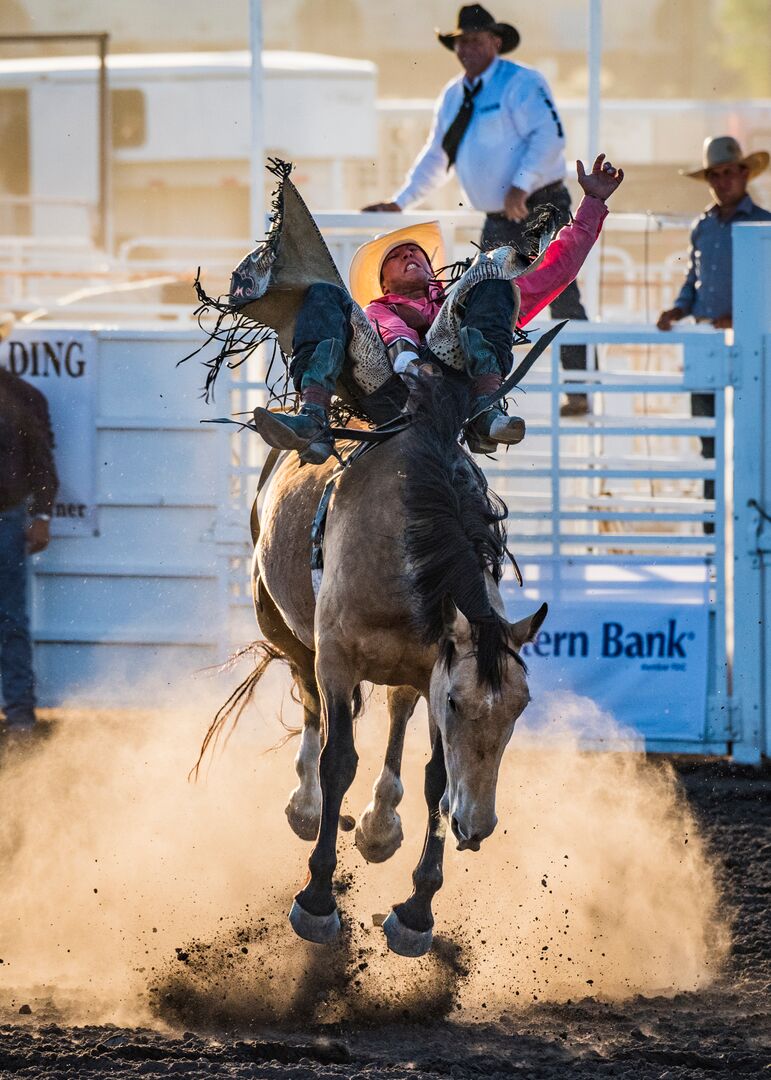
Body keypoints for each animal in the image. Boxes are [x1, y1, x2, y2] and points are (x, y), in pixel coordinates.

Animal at [200, 378, 544, 954]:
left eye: (520, 708)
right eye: (458, 703)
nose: (477, 828)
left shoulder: (432, 670)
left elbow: (437, 780)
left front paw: (417, 911)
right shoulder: (339, 661)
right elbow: (338, 759)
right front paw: (317, 900)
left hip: (401, 672)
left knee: (397, 715)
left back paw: (379, 823)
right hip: (285, 630)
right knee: (309, 702)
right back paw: (307, 806)